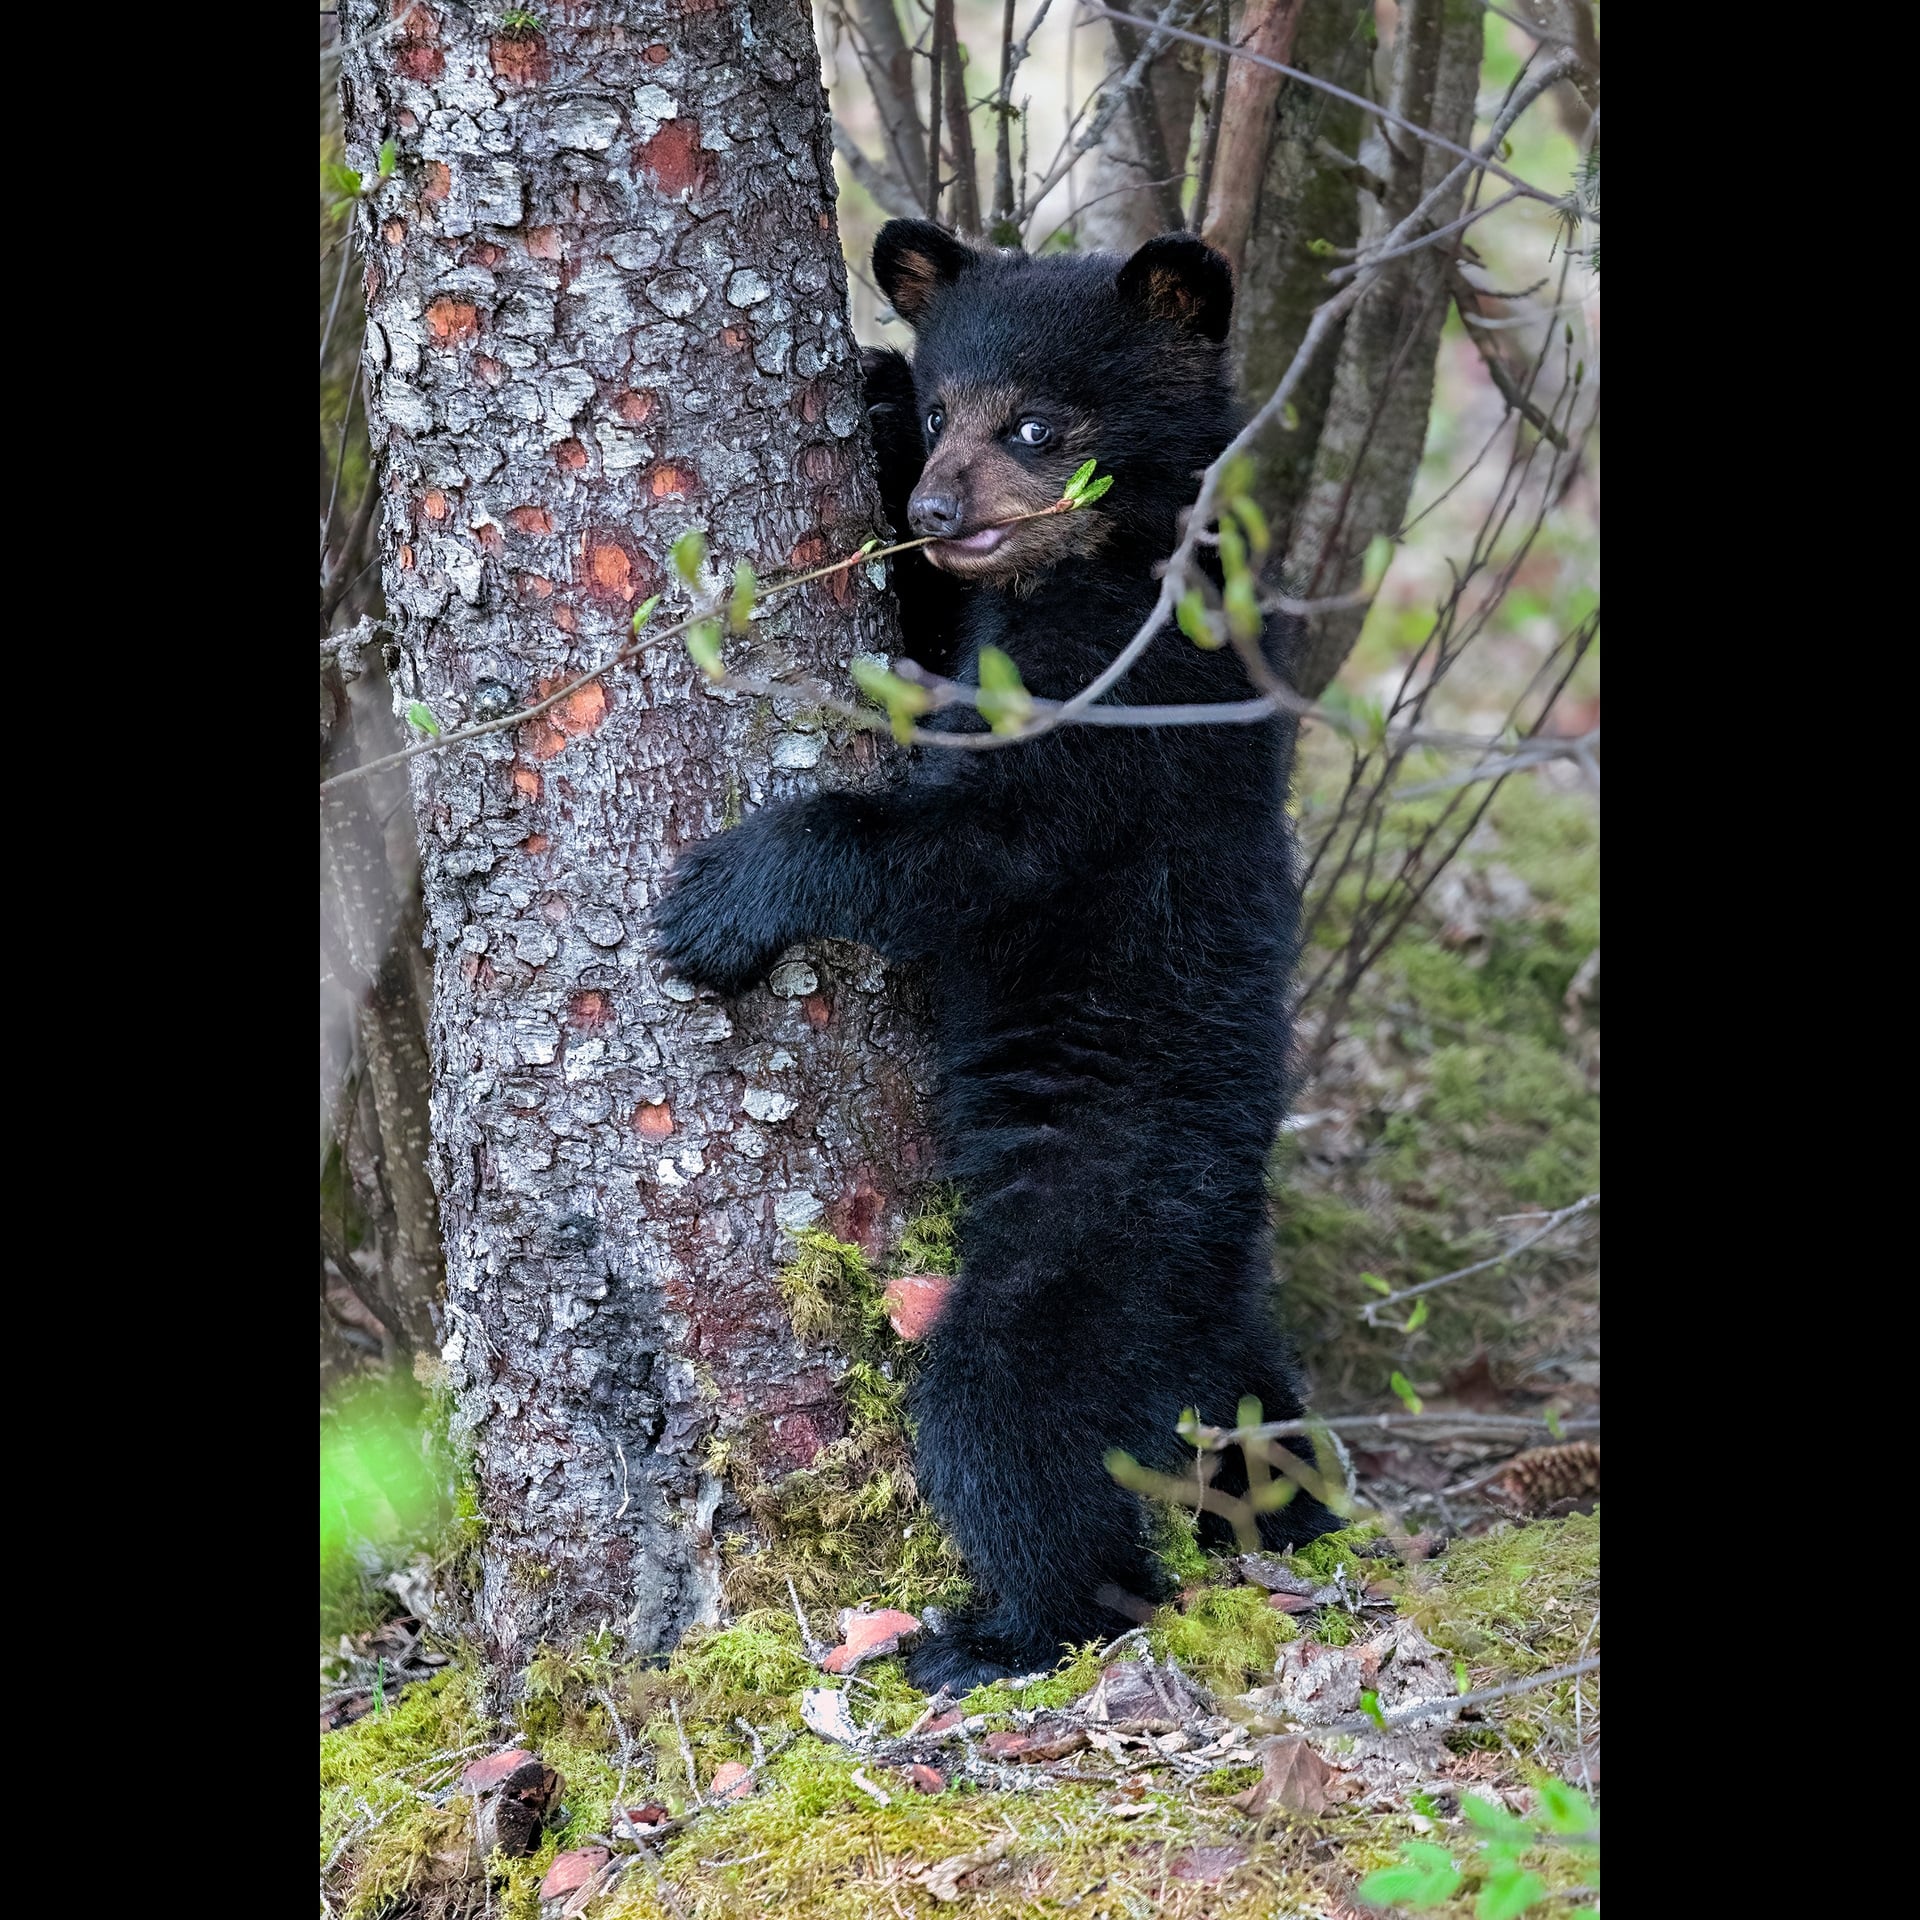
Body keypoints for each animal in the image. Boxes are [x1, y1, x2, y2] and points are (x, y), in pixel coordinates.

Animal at [653, 219, 1339, 1692]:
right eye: (941, 410)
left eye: (1034, 422)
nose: (934, 509)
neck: (1107, 558)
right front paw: (864, 388)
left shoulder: (1119, 687)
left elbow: (981, 845)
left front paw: (725, 898)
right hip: (1216, 1312)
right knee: (1254, 1409)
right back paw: (1297, 1503)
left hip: (1102, 1218)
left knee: (1008, 1411)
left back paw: (1000, 1630)